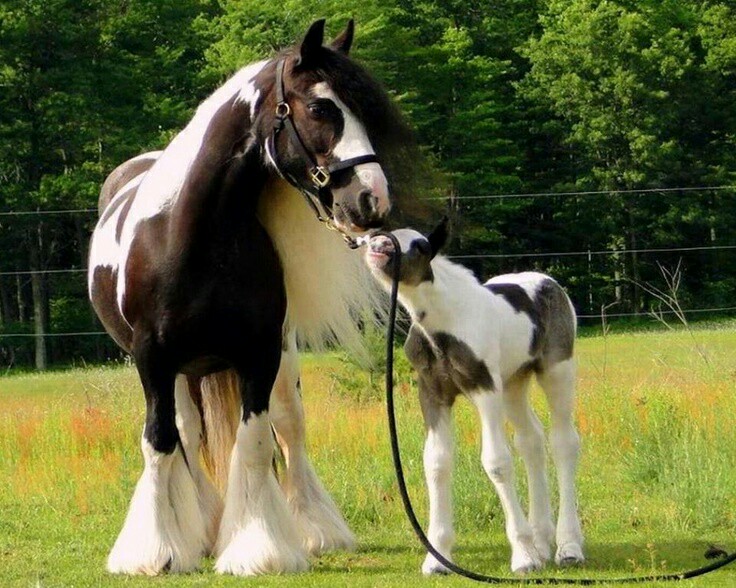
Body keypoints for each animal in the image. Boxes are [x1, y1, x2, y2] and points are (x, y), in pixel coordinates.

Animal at [88, 20, 412, 576]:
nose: (371, 200)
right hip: (181, 371)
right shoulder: (153, 359)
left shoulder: (259, 354)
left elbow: (258, 442)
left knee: (289, 427)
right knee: (185, 433)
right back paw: (196, 529)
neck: (193, 236)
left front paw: (258, 548)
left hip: (278, 356)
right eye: (320, 108)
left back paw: (314, 530)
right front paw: (154, 550)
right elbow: (159, 442)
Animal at [366, 223, 584, 576]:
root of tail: (549, 282)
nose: (378, 246)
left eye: (420, 246)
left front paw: (523, 556)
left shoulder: (485, 388)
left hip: (556, 370)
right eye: (385, 234)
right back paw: (541, 543)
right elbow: (436, 462)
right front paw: (437, 558)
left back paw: (568, 547)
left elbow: (497, 462)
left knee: (563, 441)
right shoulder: (432, 393)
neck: (443, 324)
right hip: (513, 382)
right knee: (531, 440)